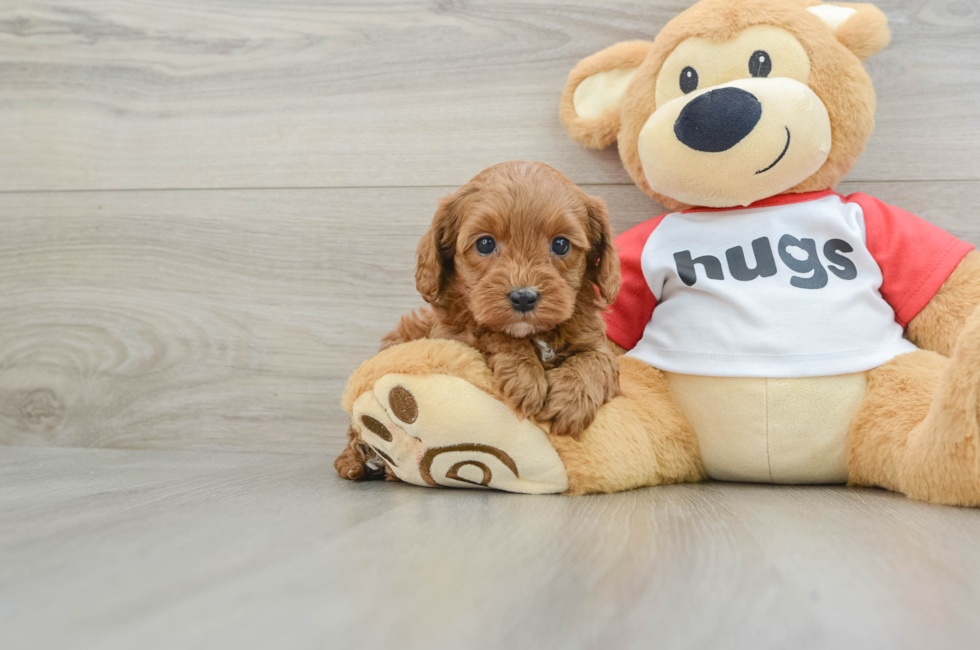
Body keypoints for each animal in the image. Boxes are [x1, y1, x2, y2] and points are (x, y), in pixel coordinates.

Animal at [336, 159, 624, 478]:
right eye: (485, 244)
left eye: (561, 245)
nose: (523, 297)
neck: (533, 334)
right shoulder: (451, 336)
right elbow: (488, 331)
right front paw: (525, 378)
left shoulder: (595, 341)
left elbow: (595, 361)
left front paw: (570, 401)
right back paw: (359, 458)